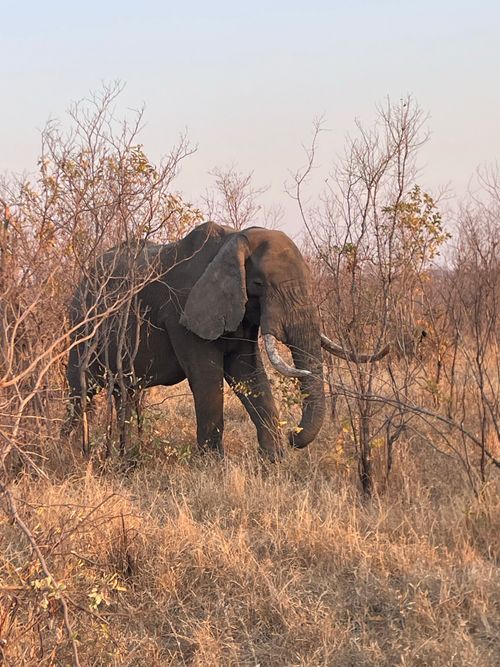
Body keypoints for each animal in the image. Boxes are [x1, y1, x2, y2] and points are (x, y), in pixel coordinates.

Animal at [65, 222, 389, 460]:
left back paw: (124, 454)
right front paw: (213, 465)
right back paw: (67, 447)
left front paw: (275, 462)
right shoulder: (183, 311)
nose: (292, 435)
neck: (234, 239)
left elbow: (249, 374)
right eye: (259, 284)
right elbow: (207, 379)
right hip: (81, 327)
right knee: (81, 390)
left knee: (124, 392)